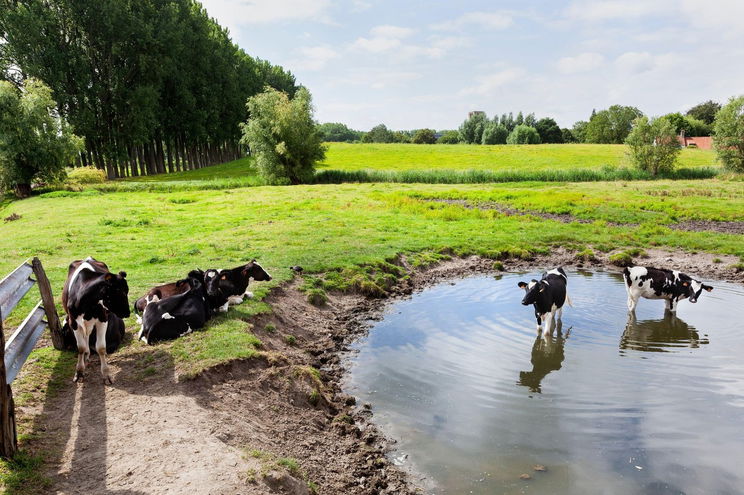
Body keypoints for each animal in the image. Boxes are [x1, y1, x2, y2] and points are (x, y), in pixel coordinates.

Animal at [62, 258, 131, 386]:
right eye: (121, 292)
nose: (127, 313)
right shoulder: (73, 322)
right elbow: (80, 347)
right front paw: (79, 372)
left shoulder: (103, 318)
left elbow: (101, 348)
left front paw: (106, 375)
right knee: (85, 339)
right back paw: (86, 355)